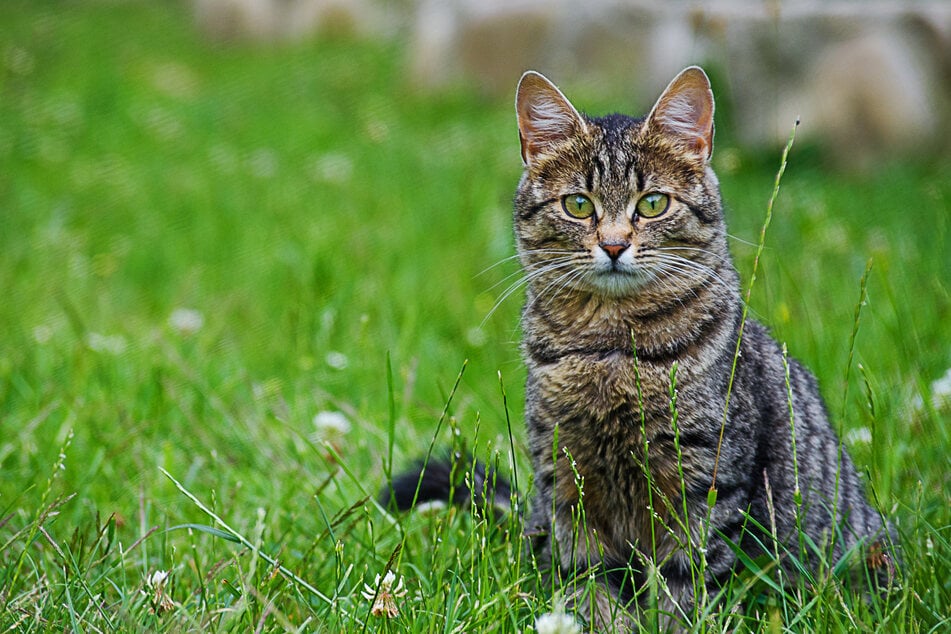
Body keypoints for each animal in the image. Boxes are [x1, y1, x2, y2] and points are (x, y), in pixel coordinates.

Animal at [384, 66, 896, 628]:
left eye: (652, 203)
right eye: (578, 205)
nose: (613, 244)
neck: (610, 351)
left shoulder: (706, 487)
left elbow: (688, 588)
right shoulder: (568, 488)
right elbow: (591, 586)